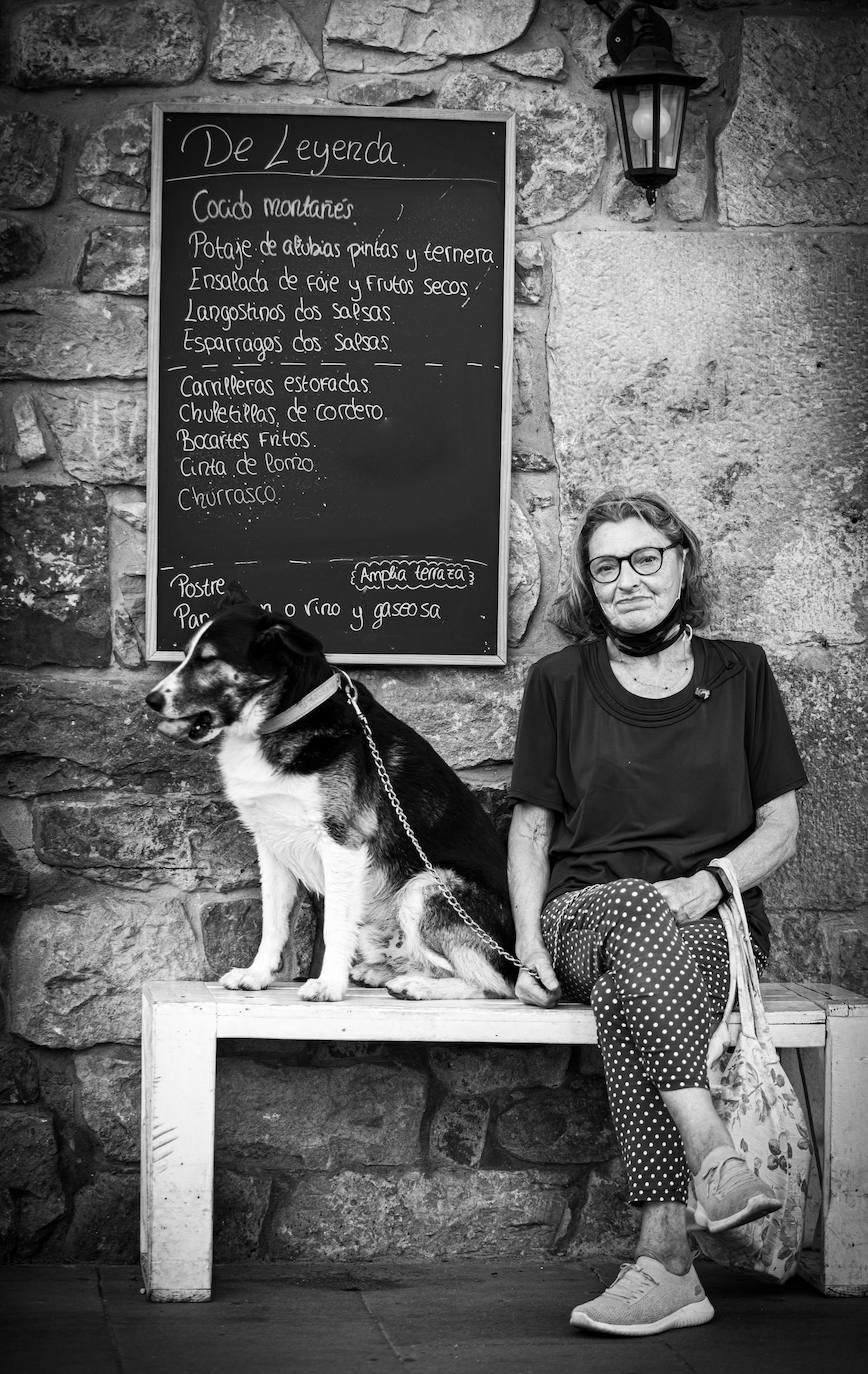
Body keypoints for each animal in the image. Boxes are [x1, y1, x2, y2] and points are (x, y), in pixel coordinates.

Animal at [145, 601, 516, 1000]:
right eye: (185, 655)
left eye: (209, 659)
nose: (151, 700)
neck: (283, 719)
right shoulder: (271, 846)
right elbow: (273, 922)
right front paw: (256, 975)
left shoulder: (343, 843)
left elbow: (334, 927)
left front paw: (328, 984)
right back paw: (384, 974)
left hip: (426, 886)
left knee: (492, 983)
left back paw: (417, 986)